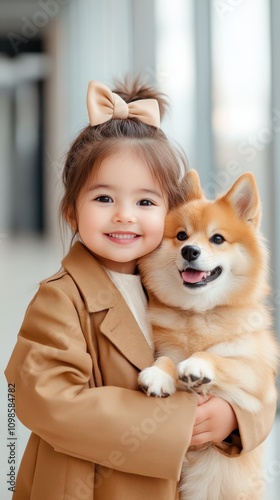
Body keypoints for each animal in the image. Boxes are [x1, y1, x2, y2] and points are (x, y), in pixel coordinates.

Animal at [139, 171, 278, 500]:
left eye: (217, 239)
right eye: (181, 236)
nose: (190, 251)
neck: (199, 313)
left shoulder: (256, 378)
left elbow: (217, 357)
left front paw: (197, 364)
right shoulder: (166, 349)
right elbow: (166, 360)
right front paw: (159, 374)